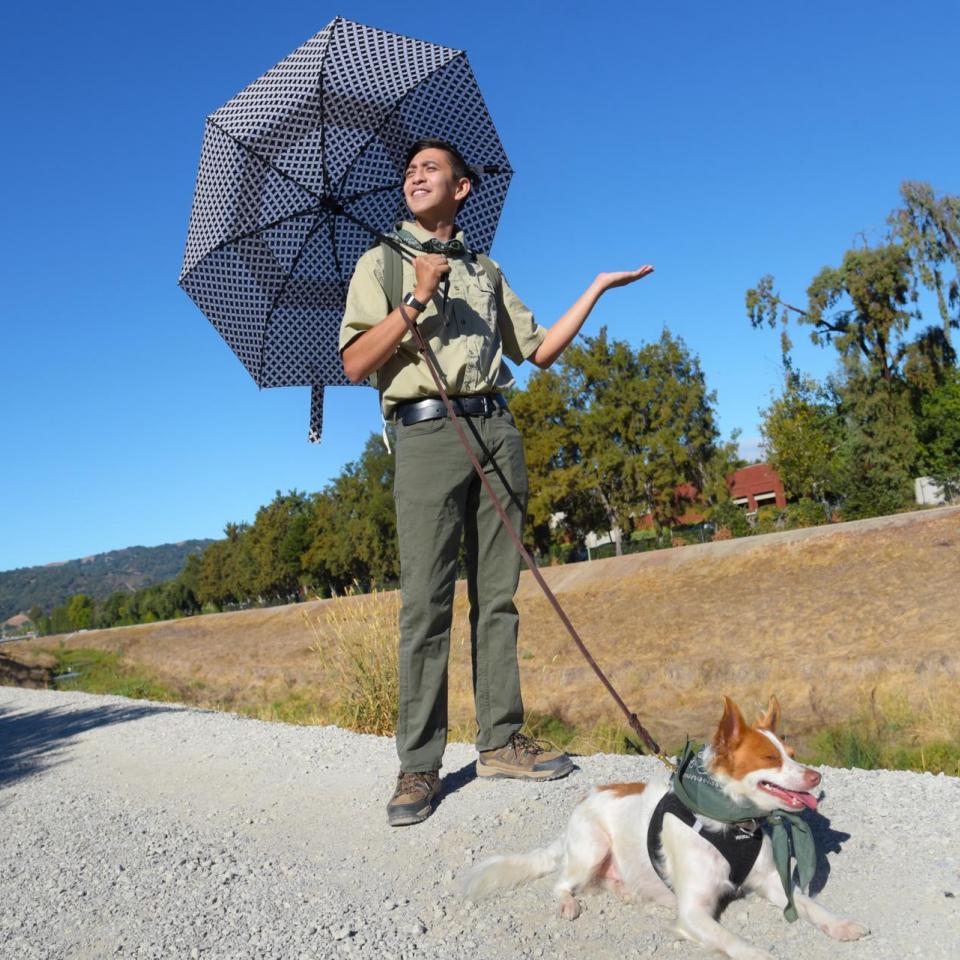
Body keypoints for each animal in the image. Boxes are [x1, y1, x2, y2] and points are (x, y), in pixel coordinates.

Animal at [464, 696, 872, 960]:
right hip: (591, 846)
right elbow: (737, 942)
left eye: (794, 756)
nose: (816, 776)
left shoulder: (772, 883)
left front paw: (840, 924)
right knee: (562, 882)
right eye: (771, 758)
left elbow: (808, 904)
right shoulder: (693, 911)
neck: (730, 822)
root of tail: (585, 801)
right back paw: (568, 901)